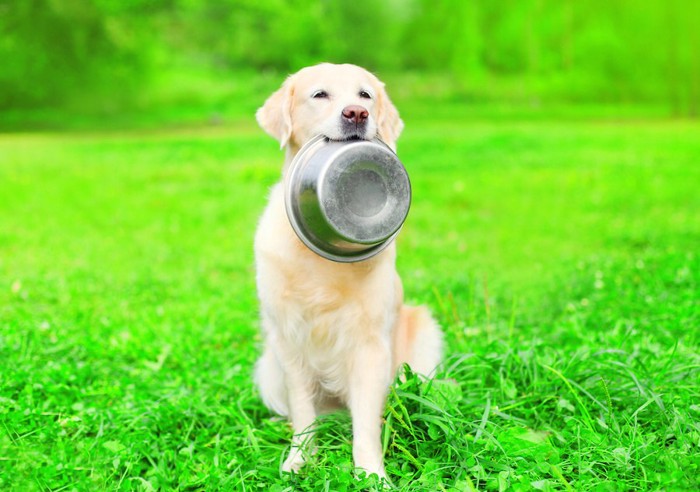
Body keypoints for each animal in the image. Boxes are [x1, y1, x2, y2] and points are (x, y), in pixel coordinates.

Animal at [254, 63, 442, 478]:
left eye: (365, 95)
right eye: (320, 94)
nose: (357, 113)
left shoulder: (371, 344)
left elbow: (367, 424)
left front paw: (372, 473)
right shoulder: (289, 338)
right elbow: (303, 411)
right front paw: (300, 458)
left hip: (424, 333)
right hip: (268, 367)